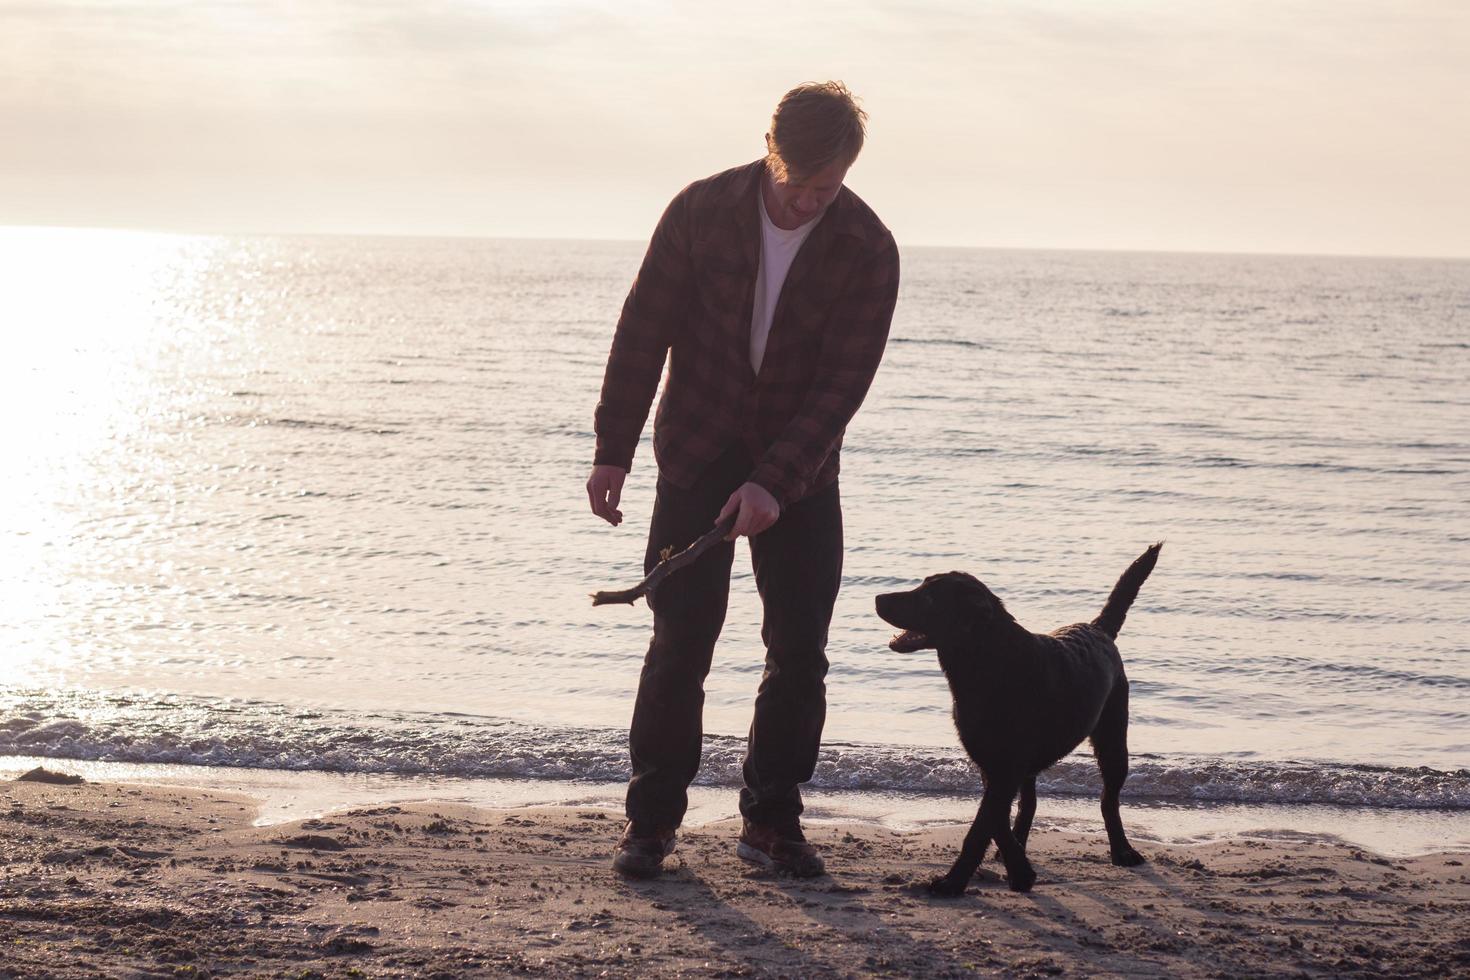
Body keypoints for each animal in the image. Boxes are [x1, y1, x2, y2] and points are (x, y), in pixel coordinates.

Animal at [870, 543, 1158, 899]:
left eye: (928, 598)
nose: (878, 598)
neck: (990, 663)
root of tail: (1098, 628)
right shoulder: (990, 762)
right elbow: (996, 820)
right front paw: (1020, 870)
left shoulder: (1005, 767)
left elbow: (981, 827)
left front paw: (953, 882)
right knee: (1029, 804)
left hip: (1113, 737)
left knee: (1109, 800)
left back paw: (1122, 851)